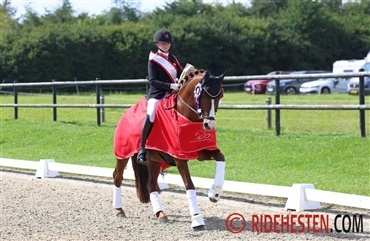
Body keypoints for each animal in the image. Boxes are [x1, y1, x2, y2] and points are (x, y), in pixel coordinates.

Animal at [111, 69, 225, 230]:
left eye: (220, 96)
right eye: (204, 95)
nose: (209, 125)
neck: (184, 116)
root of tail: (126, 113)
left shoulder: (200, 152)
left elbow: (221, 157)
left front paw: (215, 192)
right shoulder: (179, 157)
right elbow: (189, 184)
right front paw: (197, 219)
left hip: (153, 160)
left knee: (151, 184)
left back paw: (160, 214)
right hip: (122, 154)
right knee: (118, 176)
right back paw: (119, 210)